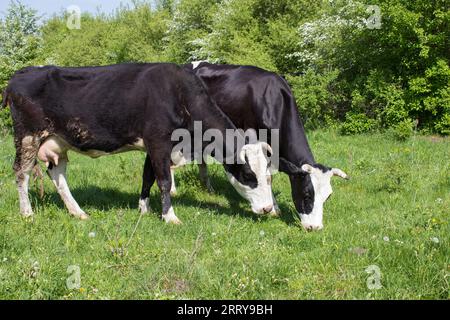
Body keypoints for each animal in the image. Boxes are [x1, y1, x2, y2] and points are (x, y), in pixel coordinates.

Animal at [1, 62, 274, 222]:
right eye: (249, 175)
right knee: (22, 173)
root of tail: (21, 73)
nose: (267, 209)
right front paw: (169, 216)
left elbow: (148, 177)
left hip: (57, 141)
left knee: (57, 174)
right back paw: (27, 213)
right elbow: (164, 181)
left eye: (269, 176)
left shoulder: (152, 145)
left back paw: (78, 212)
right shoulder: (158, 141)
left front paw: (144, 209)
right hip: (27, 136)